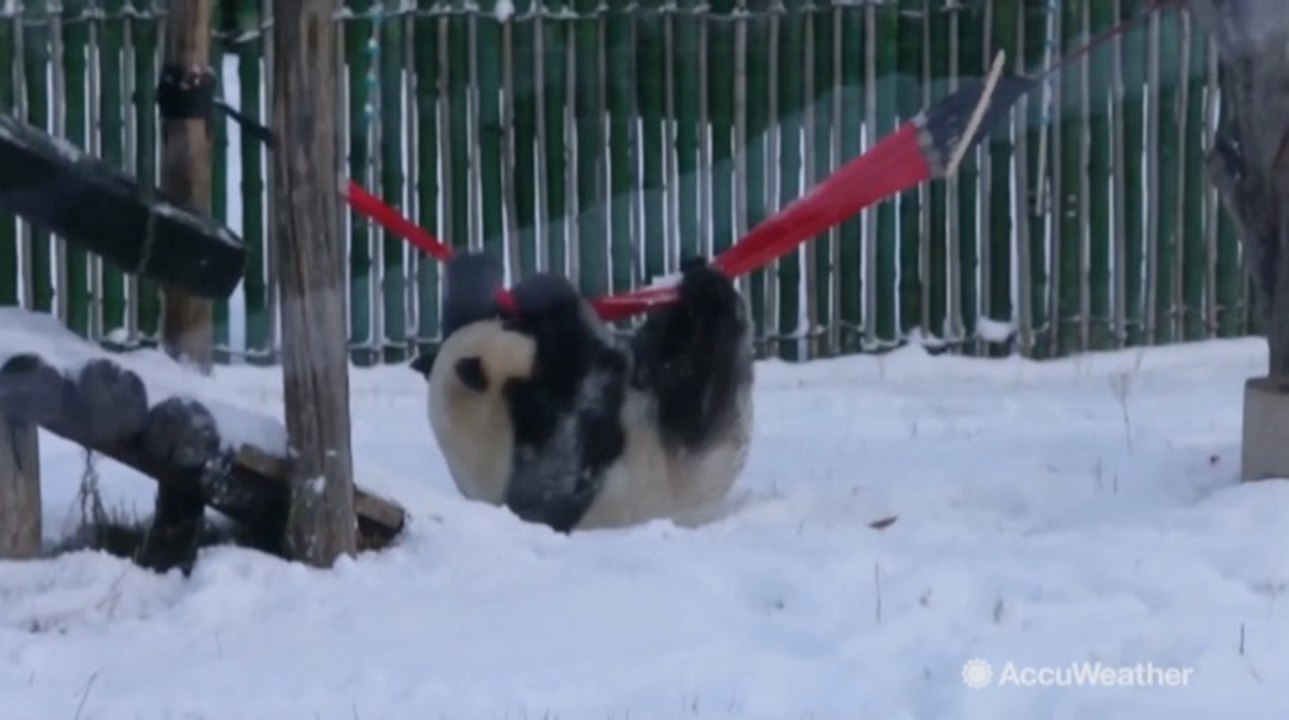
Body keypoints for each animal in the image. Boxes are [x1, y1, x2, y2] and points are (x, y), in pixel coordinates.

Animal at [411, 251, 755, 533]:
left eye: (510, 323)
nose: (518, 313)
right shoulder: (546, 444)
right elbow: (583, 415)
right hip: (686, 439)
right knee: (694, 371)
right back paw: (706, 291)